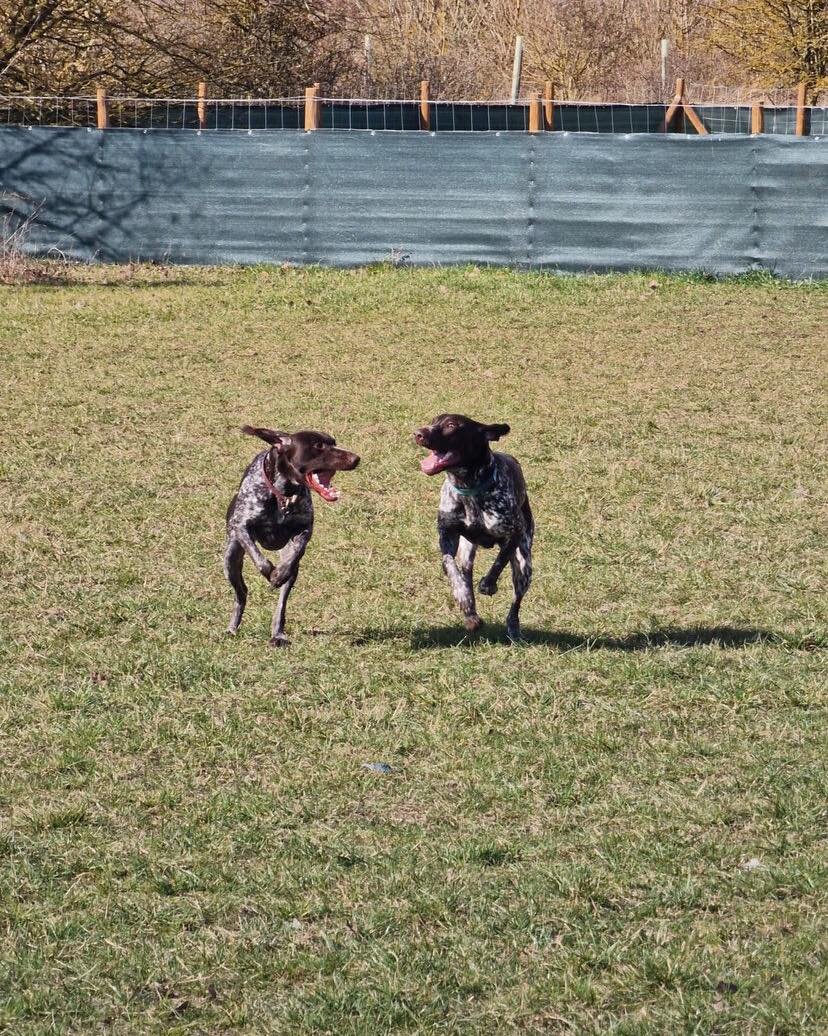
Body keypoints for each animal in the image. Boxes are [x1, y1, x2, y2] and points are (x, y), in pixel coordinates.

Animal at [224, 424, 358, 642]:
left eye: (334, 443)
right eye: (318, 446)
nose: (356, 459)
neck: (282, 496)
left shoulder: (304, 530)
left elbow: (296, 553)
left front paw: (279, 573)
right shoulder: (241, 526)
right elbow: (258, 557)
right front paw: (271, 571)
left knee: (281, 605)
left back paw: (277, 634)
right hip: (230, 559)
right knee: (241, 594)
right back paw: (232, 628)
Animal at [410, 410, 534, 638]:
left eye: (451, 425)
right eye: (433, 421)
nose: (418, 433)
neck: (468, 488)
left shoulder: (514, 532)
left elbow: (500, 560)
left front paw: (488, 584)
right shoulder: (447, 535)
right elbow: (449, 566)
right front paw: (462, 596)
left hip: (524, 565)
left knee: (516, 602)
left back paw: (513, 629)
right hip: (467, 553)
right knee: (465, 574)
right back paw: (471, 615)